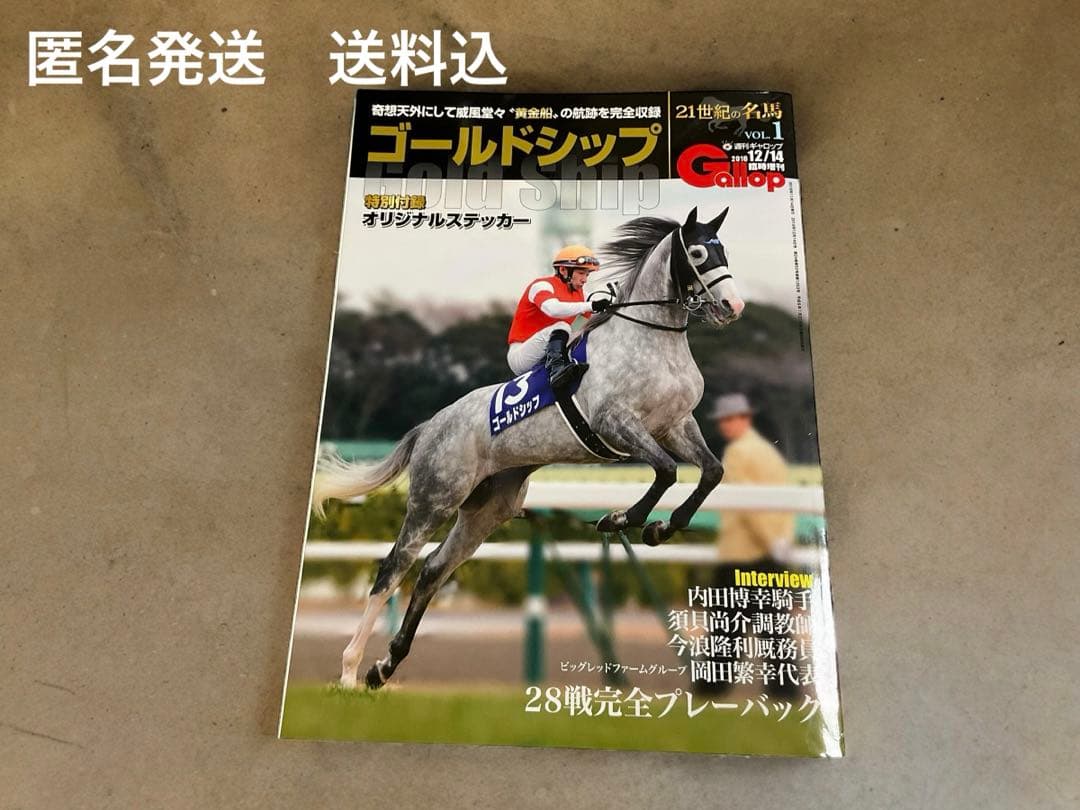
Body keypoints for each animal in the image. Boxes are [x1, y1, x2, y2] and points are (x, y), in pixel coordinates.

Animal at [313, 206, 746, 689]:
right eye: (698, 252)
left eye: (724, 249)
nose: (733, 307)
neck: (652, 341)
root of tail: (430, 426)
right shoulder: (617, 423)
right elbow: (666, 470)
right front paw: (622, 519)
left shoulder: (676, 425)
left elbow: (711, 472)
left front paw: (661, 527)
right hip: (435, 499)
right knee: (393, 568)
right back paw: (350, 669)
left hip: (487, 511)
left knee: (433, 570)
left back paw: (385, 666)